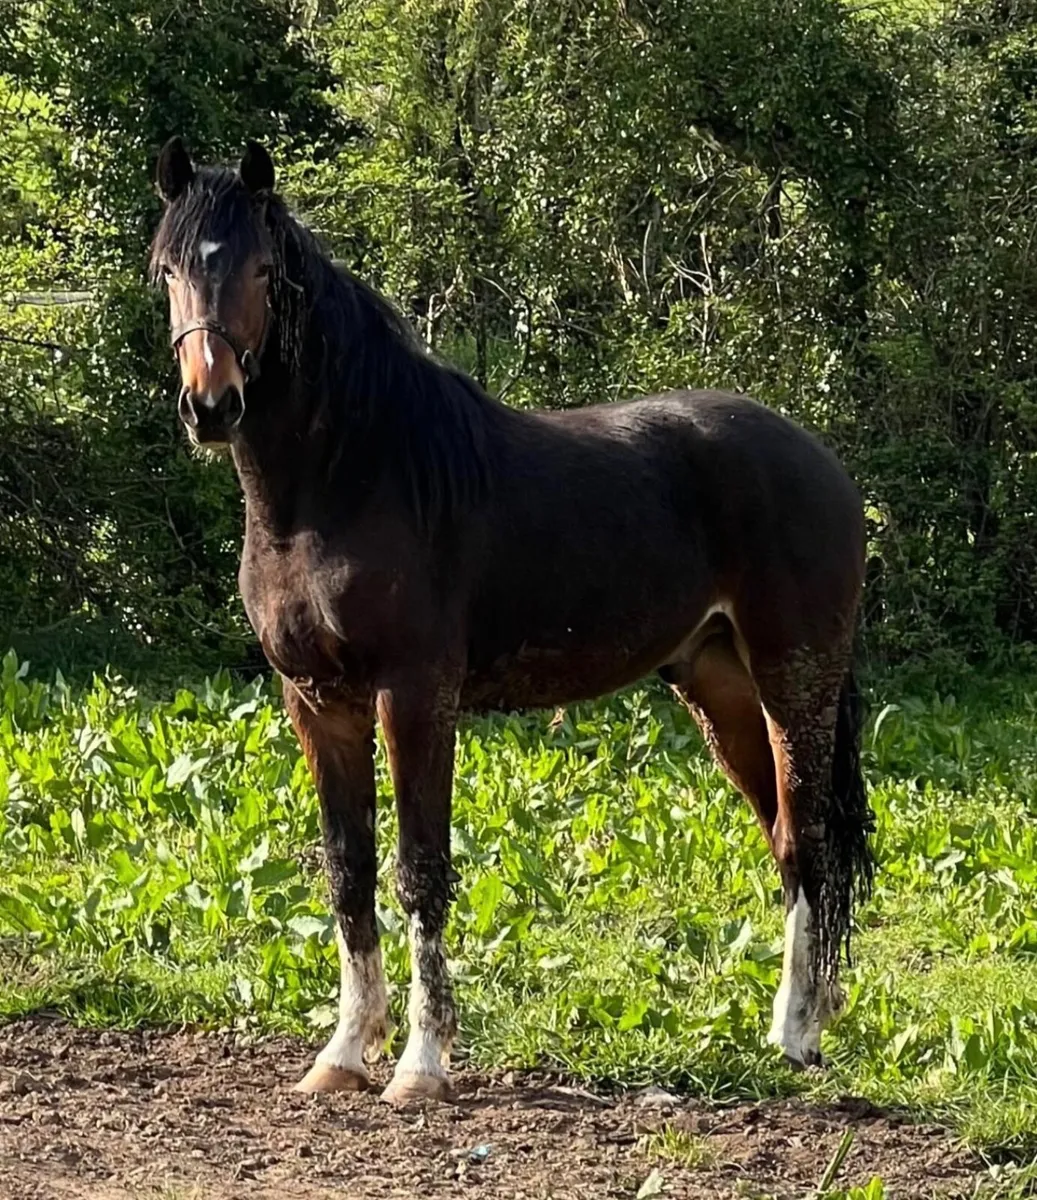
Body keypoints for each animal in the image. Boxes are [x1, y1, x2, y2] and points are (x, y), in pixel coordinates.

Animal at [150, 136, 874, 1106]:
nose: (210, 404)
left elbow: (419, 871)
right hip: (718, 687)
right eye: (167, 272)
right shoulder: (316, 701)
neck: (345, 482)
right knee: (786, 837)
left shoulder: (414, 696)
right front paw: (342, 1053)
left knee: (807, 839)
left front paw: (420, 1064)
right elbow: (347, 872)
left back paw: (794, 1035)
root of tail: (819, 460)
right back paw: (809, 1015)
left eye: (263, 271)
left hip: (795, 678)